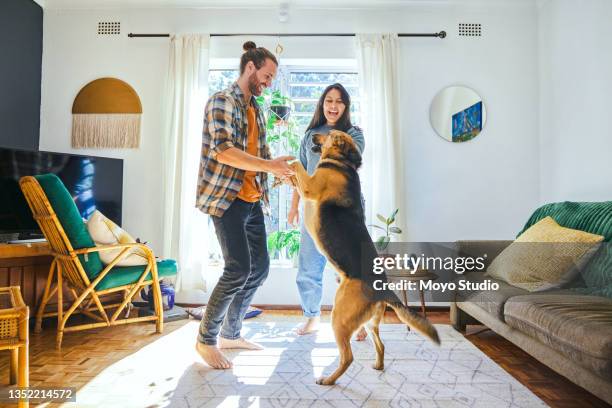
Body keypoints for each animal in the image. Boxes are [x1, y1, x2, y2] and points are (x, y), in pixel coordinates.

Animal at [288, 131, 440, 386]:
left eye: (328, 134)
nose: (311, 134)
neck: (342, 162)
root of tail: (384, 290)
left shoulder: (309, 186)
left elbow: (298, 166)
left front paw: (287, 160)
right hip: (369, 323)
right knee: (381, 345)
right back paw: (378, 366)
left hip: (339, 318)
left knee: (347, 357)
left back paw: (328, 380)